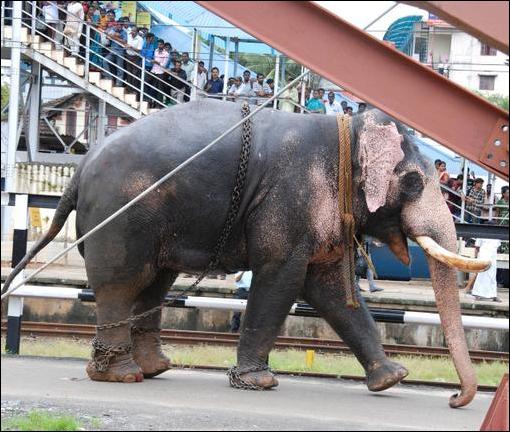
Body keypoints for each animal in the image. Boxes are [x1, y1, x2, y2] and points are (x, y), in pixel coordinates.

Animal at [3, 99, 490, 406]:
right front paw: (259, 381)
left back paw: (156, 367)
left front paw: (392, 379)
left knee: (155, 283)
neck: (345, 128)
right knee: (122, 284)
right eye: (413, 182)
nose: (454, 398)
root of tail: (80, 167)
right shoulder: (287, 201)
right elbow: (282, 276)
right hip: (122, 217)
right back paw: (122, 374)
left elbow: (330, 289)